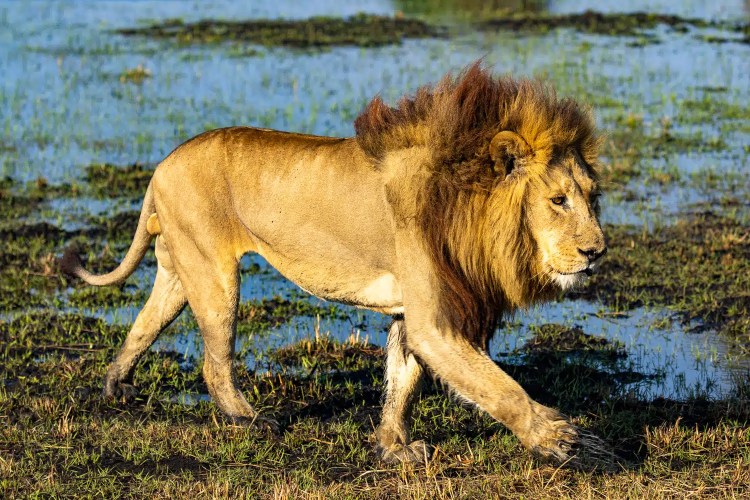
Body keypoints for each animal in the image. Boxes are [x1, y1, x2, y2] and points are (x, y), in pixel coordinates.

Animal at [61, 62, 607, 465]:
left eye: (592, 197)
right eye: (558, 201)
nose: (596, 251)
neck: (464, 200)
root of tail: (161, 166)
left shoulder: (412, 311)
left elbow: (402, 382)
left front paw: (395, 448)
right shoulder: (435, 319)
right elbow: (499, 387)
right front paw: (563, 439)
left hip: (179, 270)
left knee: (142, 326)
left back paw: (116, 386)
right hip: (215, 276)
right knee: (213, 363)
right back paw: (249, 419)